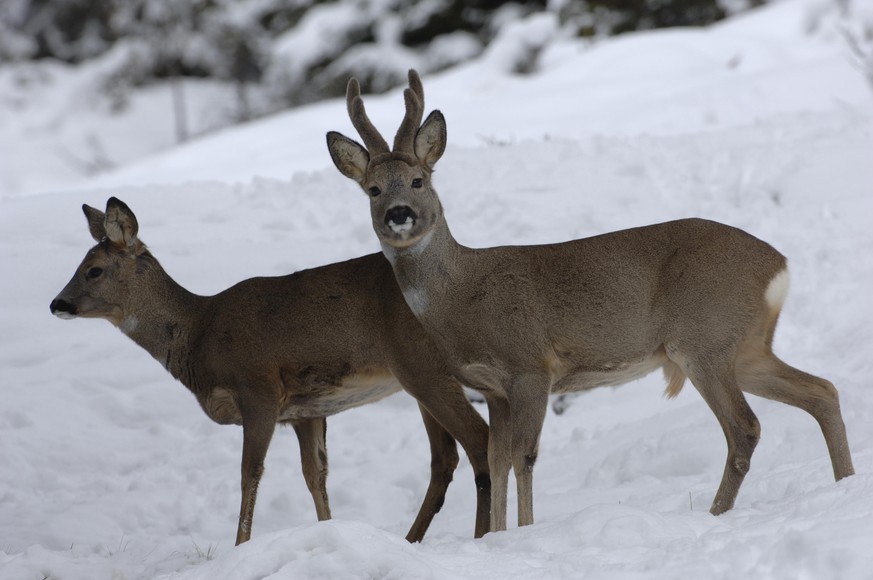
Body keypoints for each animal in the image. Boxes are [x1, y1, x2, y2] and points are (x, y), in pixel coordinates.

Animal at [51, 198, 490, 544]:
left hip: (422, 369)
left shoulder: (258, 389)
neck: (200, 334)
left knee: (477, 438)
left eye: (94, 269)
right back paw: (413, 539)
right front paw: (329, 531)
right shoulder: (305, 411)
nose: (57, 303)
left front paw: (239, 546)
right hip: (418, 378)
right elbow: (316, 476)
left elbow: (250, 474)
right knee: (445, 457)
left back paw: (483, 534)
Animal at [326, 70, 852, 532]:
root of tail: (778, 265)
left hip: (704, 337)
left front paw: (524, 532)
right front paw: (497, 537)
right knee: (821, 390)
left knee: (745, 426)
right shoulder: (493, 388)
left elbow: (522, 456)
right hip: (744, 346)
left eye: (419, 180)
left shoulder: (531, 367)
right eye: (372, 189)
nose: (398, 214)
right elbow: (495, 460)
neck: (461, 298)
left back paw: (715, 513)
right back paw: (844, 481)